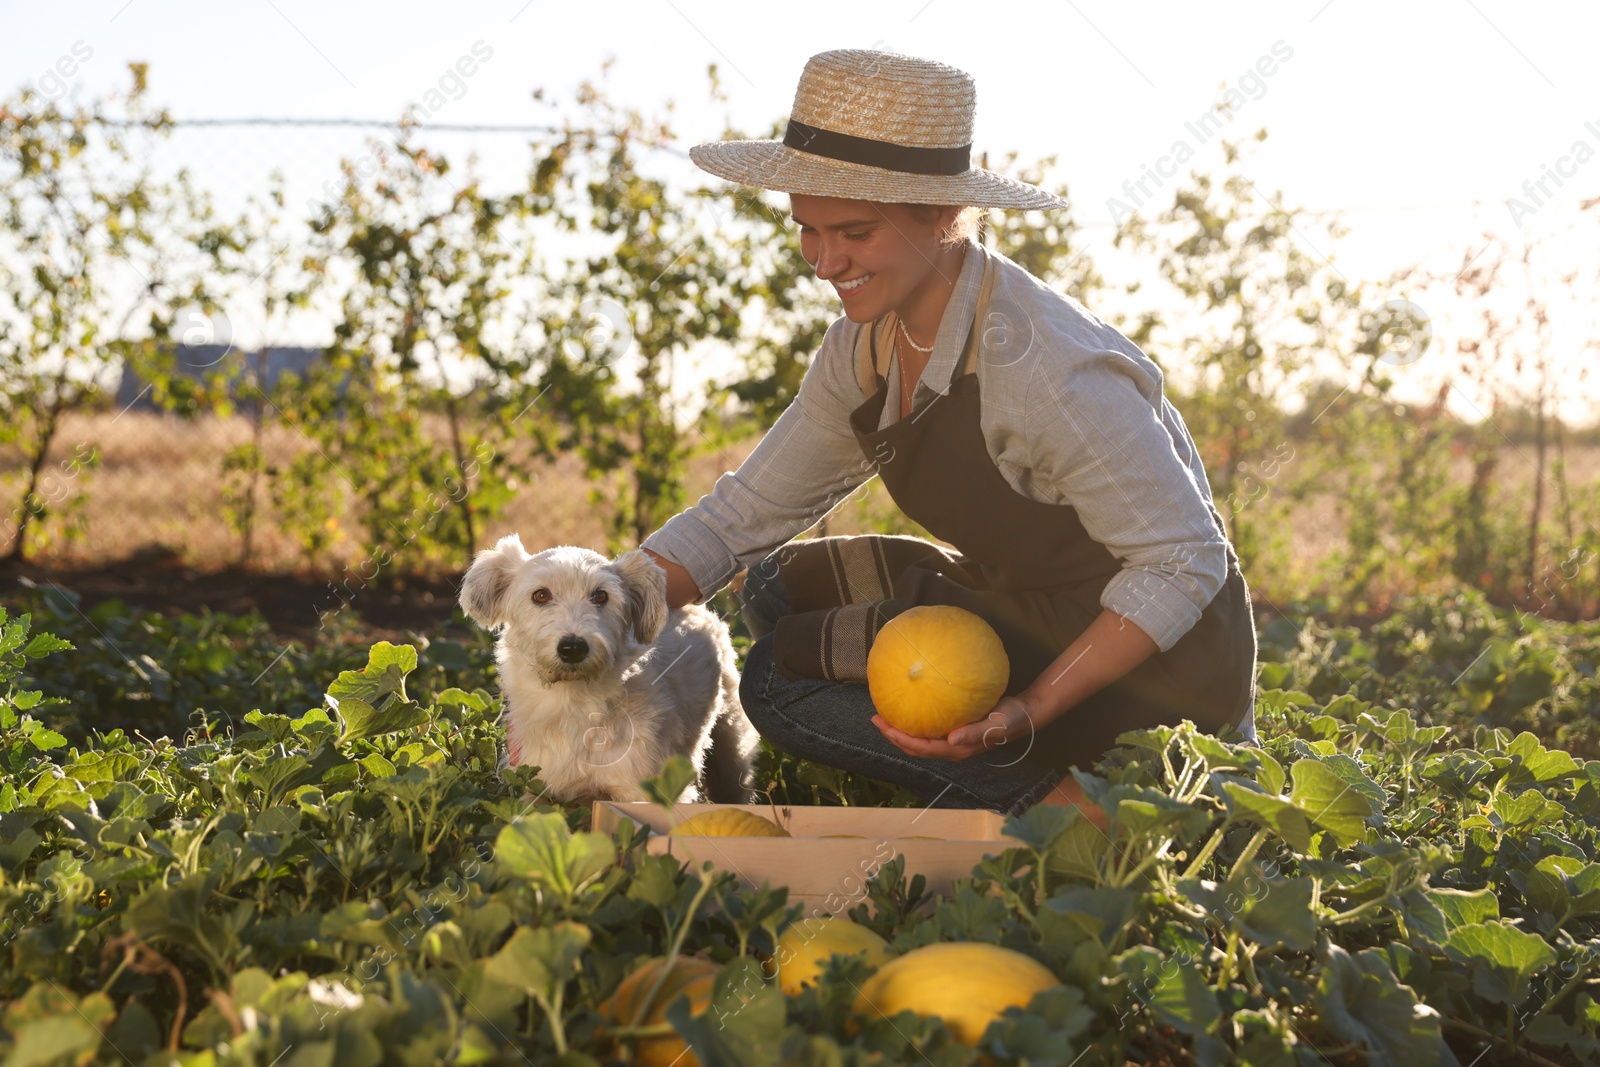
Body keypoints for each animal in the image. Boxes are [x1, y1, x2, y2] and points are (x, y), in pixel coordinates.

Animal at [457, 537, 755, 806]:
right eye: (540, 595)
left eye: (600, 595)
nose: (573, 648)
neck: (572, 704)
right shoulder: (532, 788)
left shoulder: (643, 792)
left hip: (731, 747)